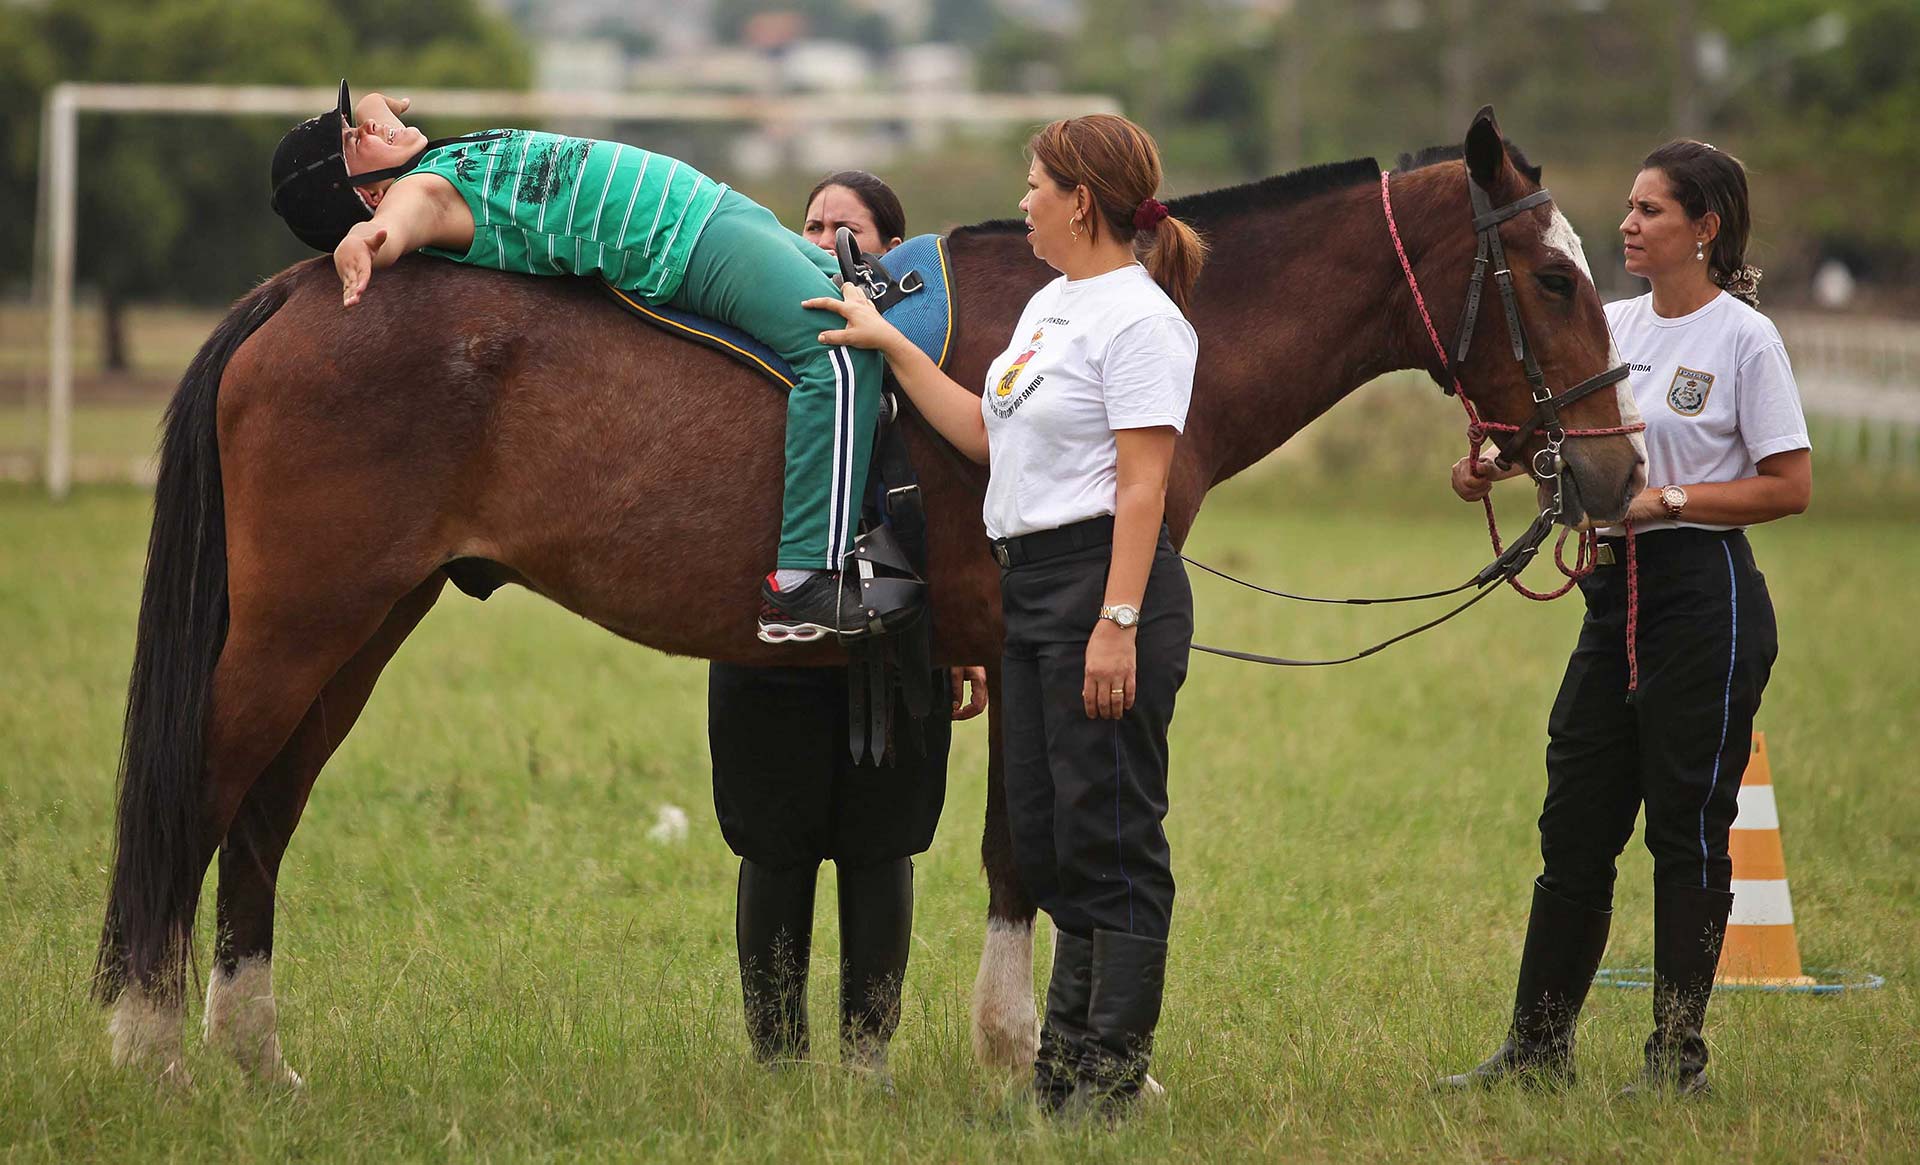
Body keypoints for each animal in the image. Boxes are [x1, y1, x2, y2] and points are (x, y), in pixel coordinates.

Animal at [97, 111, 1643, 1082]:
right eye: (1555, 274)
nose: (1617, 474)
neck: (1100, 317)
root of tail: (305, 291)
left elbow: (1016, 854)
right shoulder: (1042, 639)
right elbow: (1030, 854)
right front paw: (1030, 1060)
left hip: (364, 625)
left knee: (263, 816)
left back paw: (253, 1056)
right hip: (299, 624)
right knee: (198, 794)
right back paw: (147, 1052)